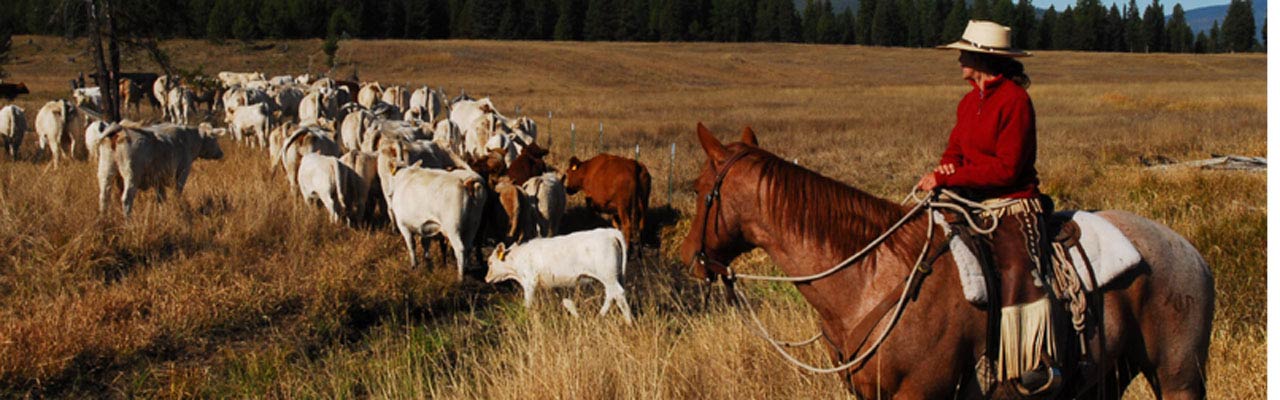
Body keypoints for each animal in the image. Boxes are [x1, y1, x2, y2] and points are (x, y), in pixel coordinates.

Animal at [94, 121, 225, 216]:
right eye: (215, 139)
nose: (221, 153)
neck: (189, 139)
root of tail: (121, 129)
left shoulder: (158, 180)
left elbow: (161, 198)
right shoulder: (182, 173)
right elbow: (176, 193)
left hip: (106, 171)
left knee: (104, 197)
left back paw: (104, 218)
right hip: (131, 175)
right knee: (126, 199)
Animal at [486, 226, 632, 323]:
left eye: (490, 262)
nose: (486, 278)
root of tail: (609, 232)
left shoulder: (530, 282)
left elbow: (528, 304)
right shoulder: (555, 285)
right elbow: (568, 303)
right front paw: (577, 317)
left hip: (608, 276)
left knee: (618, 294)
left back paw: (628, 322)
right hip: (610, 277)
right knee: (611, 295)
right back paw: (599, 316)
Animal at [675, 123, 1213, 397]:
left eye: (701, 189)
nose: (688, 258)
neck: (870, 275)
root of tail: (1192, 253)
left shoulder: (921, 394)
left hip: (1179, 377)